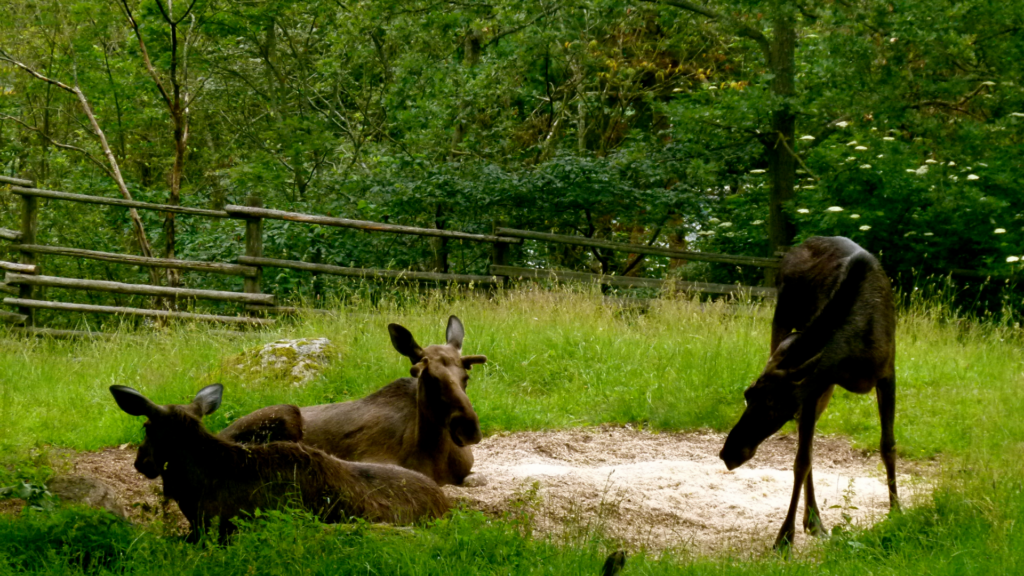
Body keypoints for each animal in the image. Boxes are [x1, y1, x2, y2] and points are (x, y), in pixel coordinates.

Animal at [716, 235, 901, 549]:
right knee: (807, 451)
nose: (730, 452)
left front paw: (896, 512)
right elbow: (802, 460)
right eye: (748, 394)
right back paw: (814, 520)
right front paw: (785, 537)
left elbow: (888, 446)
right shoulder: (813, 387)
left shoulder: (887, 371)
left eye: (774, 405)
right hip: (781, 322)